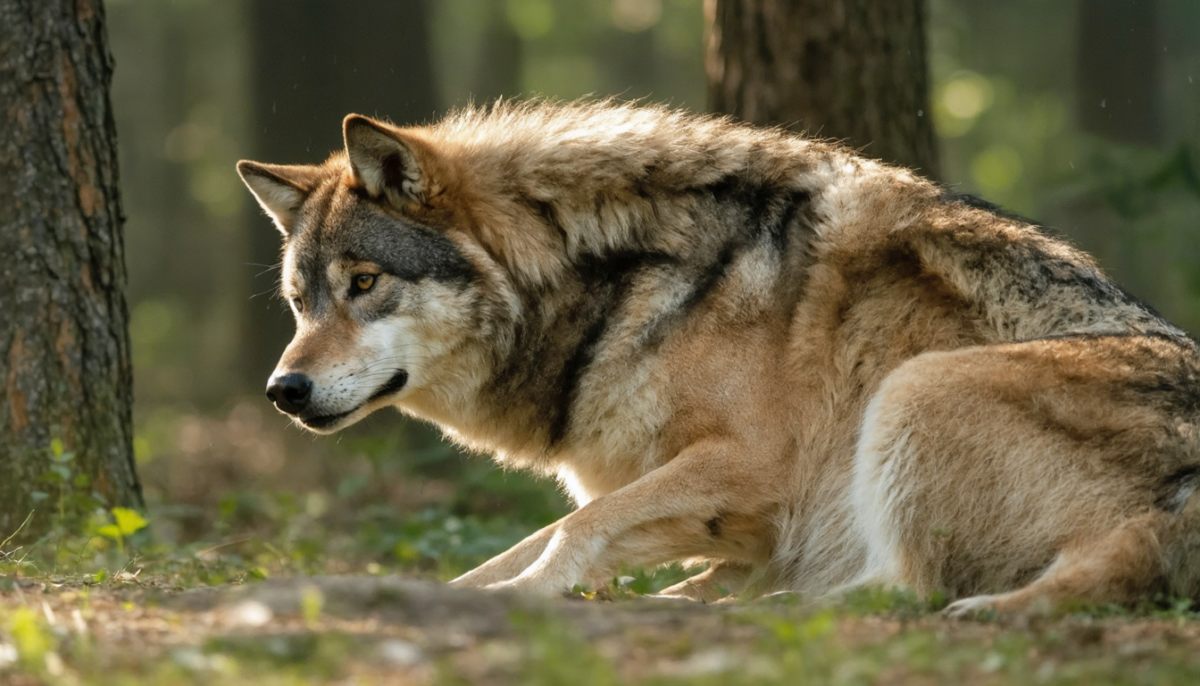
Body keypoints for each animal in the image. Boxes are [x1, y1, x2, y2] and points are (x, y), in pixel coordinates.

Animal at [237, 100, 1200, 614]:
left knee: (905, 588)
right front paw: (467, 595)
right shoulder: (725, 511)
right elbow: (528, 543)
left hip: (909, 392)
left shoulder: (753, 465)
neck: (624, 287)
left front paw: (528, 599)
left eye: (364, 283)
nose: (283, 389)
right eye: (301, 300)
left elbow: (579, 527)